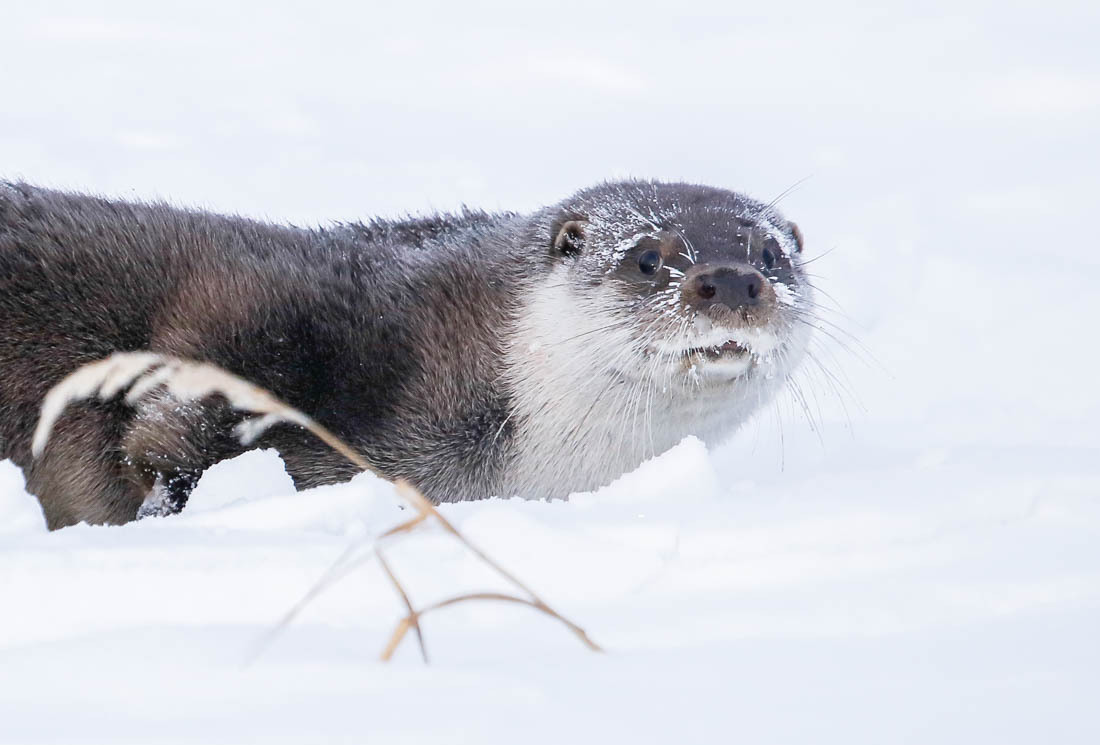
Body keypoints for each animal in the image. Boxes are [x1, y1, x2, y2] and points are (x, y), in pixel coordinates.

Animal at [0, 180, 809, 528]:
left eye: (772, 254)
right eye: (647, 257)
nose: (732, 280)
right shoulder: (277, 302)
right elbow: (193, 385)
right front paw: (157, 495)